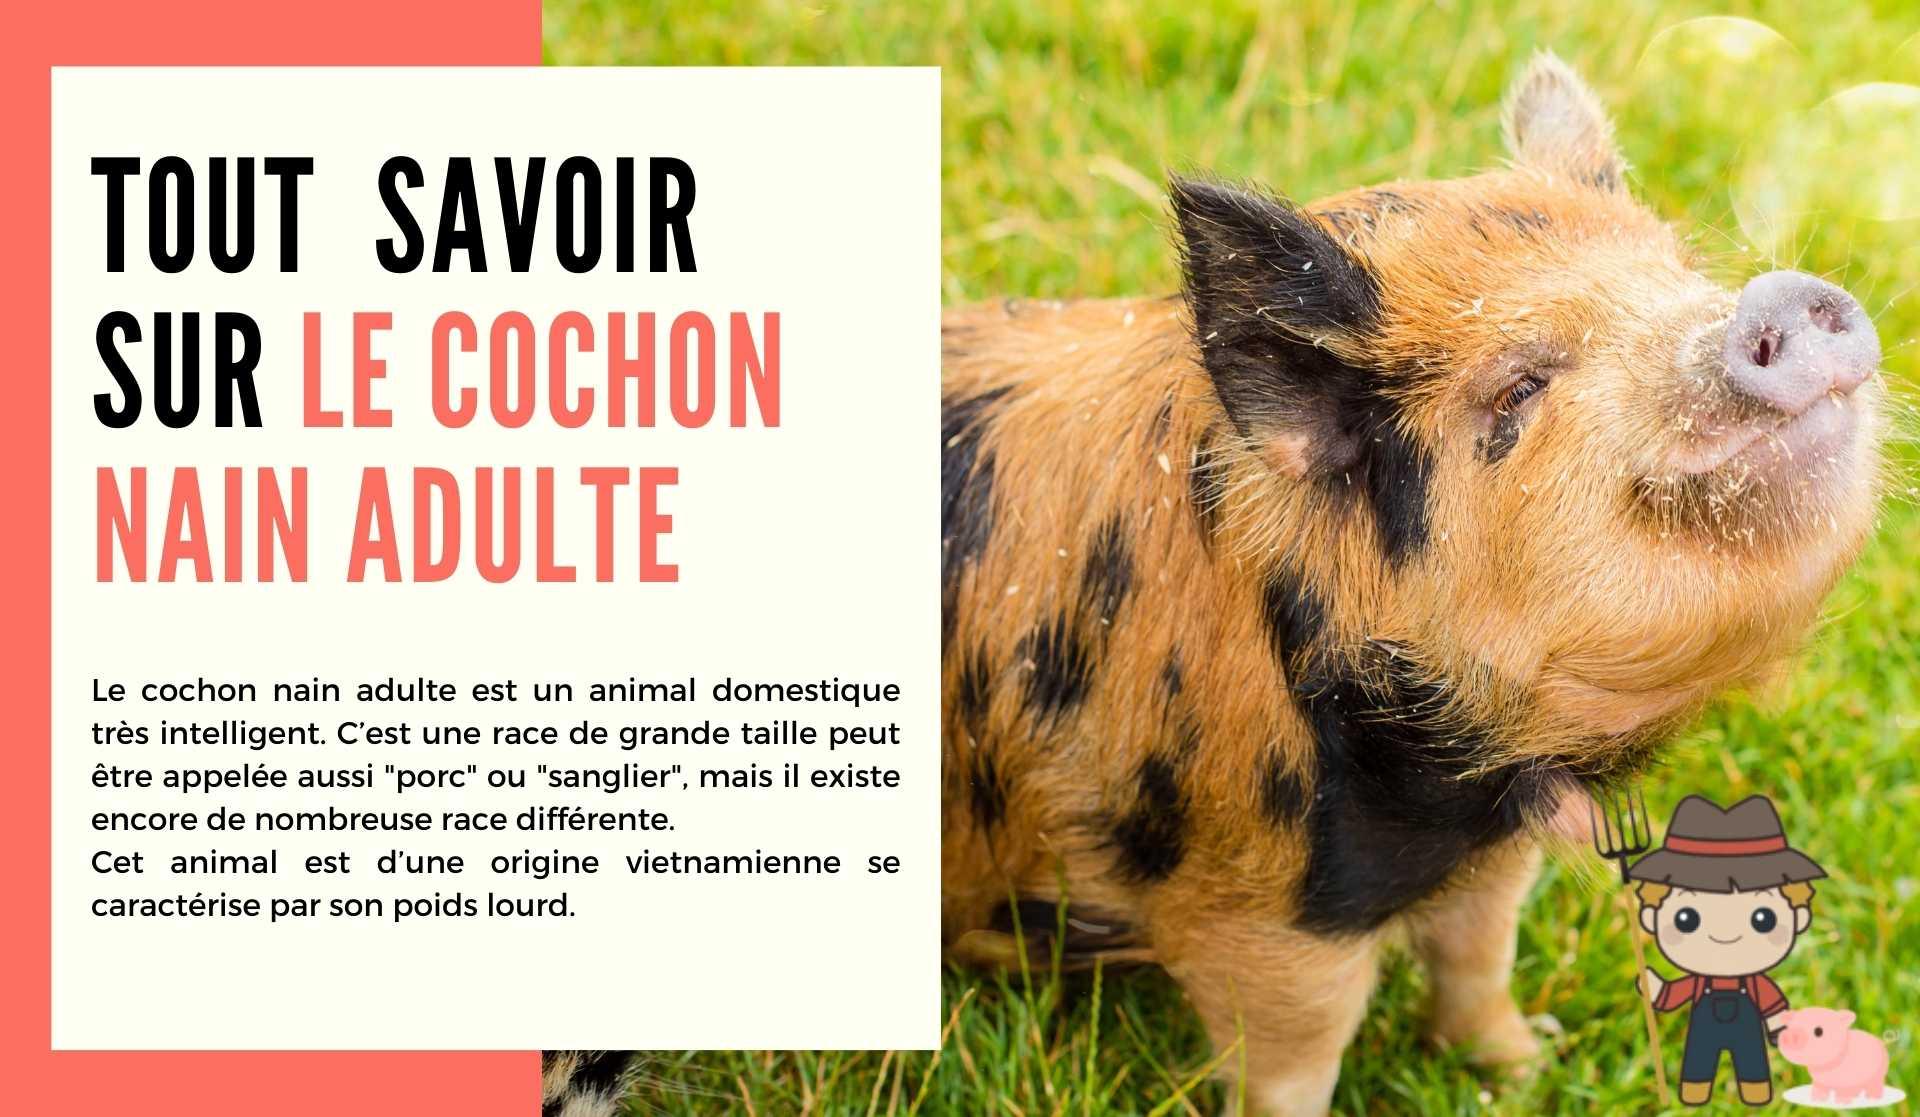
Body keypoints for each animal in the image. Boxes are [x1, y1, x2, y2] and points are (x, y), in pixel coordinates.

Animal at [539, 51, 1886, 1117]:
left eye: (1681, 274)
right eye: (1517, 389)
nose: (1779, 299)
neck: (1448, 791)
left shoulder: (1494, 852)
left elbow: (1477, 965)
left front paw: (1527, 1065)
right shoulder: (1260, 922)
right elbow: (1295, 1064)